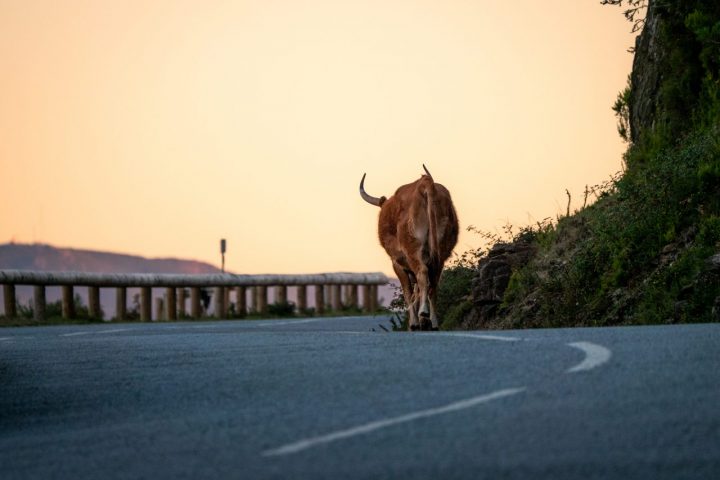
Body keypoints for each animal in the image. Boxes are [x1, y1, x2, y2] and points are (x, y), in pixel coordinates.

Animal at [358, 166, 456, 330]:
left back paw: (422, 315)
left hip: (413, 251)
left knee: (422, 275)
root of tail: (425, 184)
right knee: (433, 285)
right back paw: (433, 322)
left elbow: (408, 292)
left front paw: (414, 322)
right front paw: (422, 322)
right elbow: (417, 290)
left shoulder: (397, 263)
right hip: (440, 254)